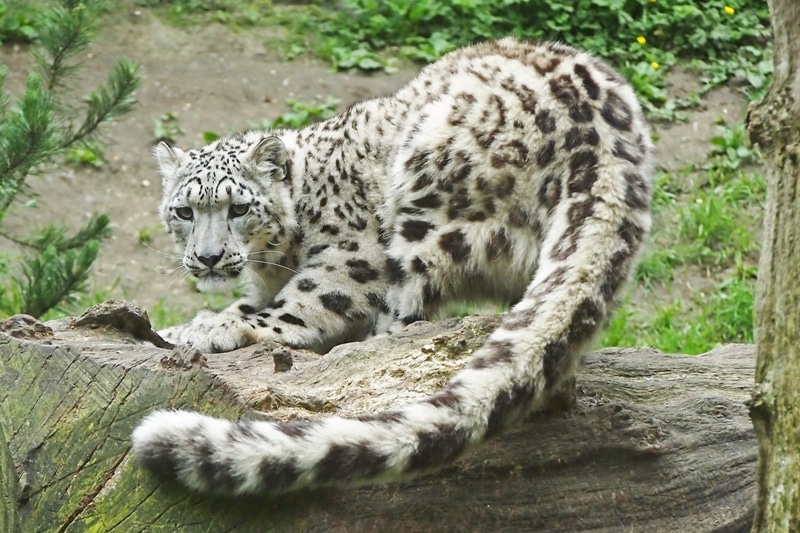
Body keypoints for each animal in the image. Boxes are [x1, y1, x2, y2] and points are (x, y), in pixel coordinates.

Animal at [133, 36, 656, 494]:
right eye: (184, 211)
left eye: (238, 208)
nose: (207, 257)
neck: (275, 260)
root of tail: (605, 146)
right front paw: (192, 323)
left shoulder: (347, 260)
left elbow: (292, 310)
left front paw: (210, 330)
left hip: (423, 213)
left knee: (400, 318)